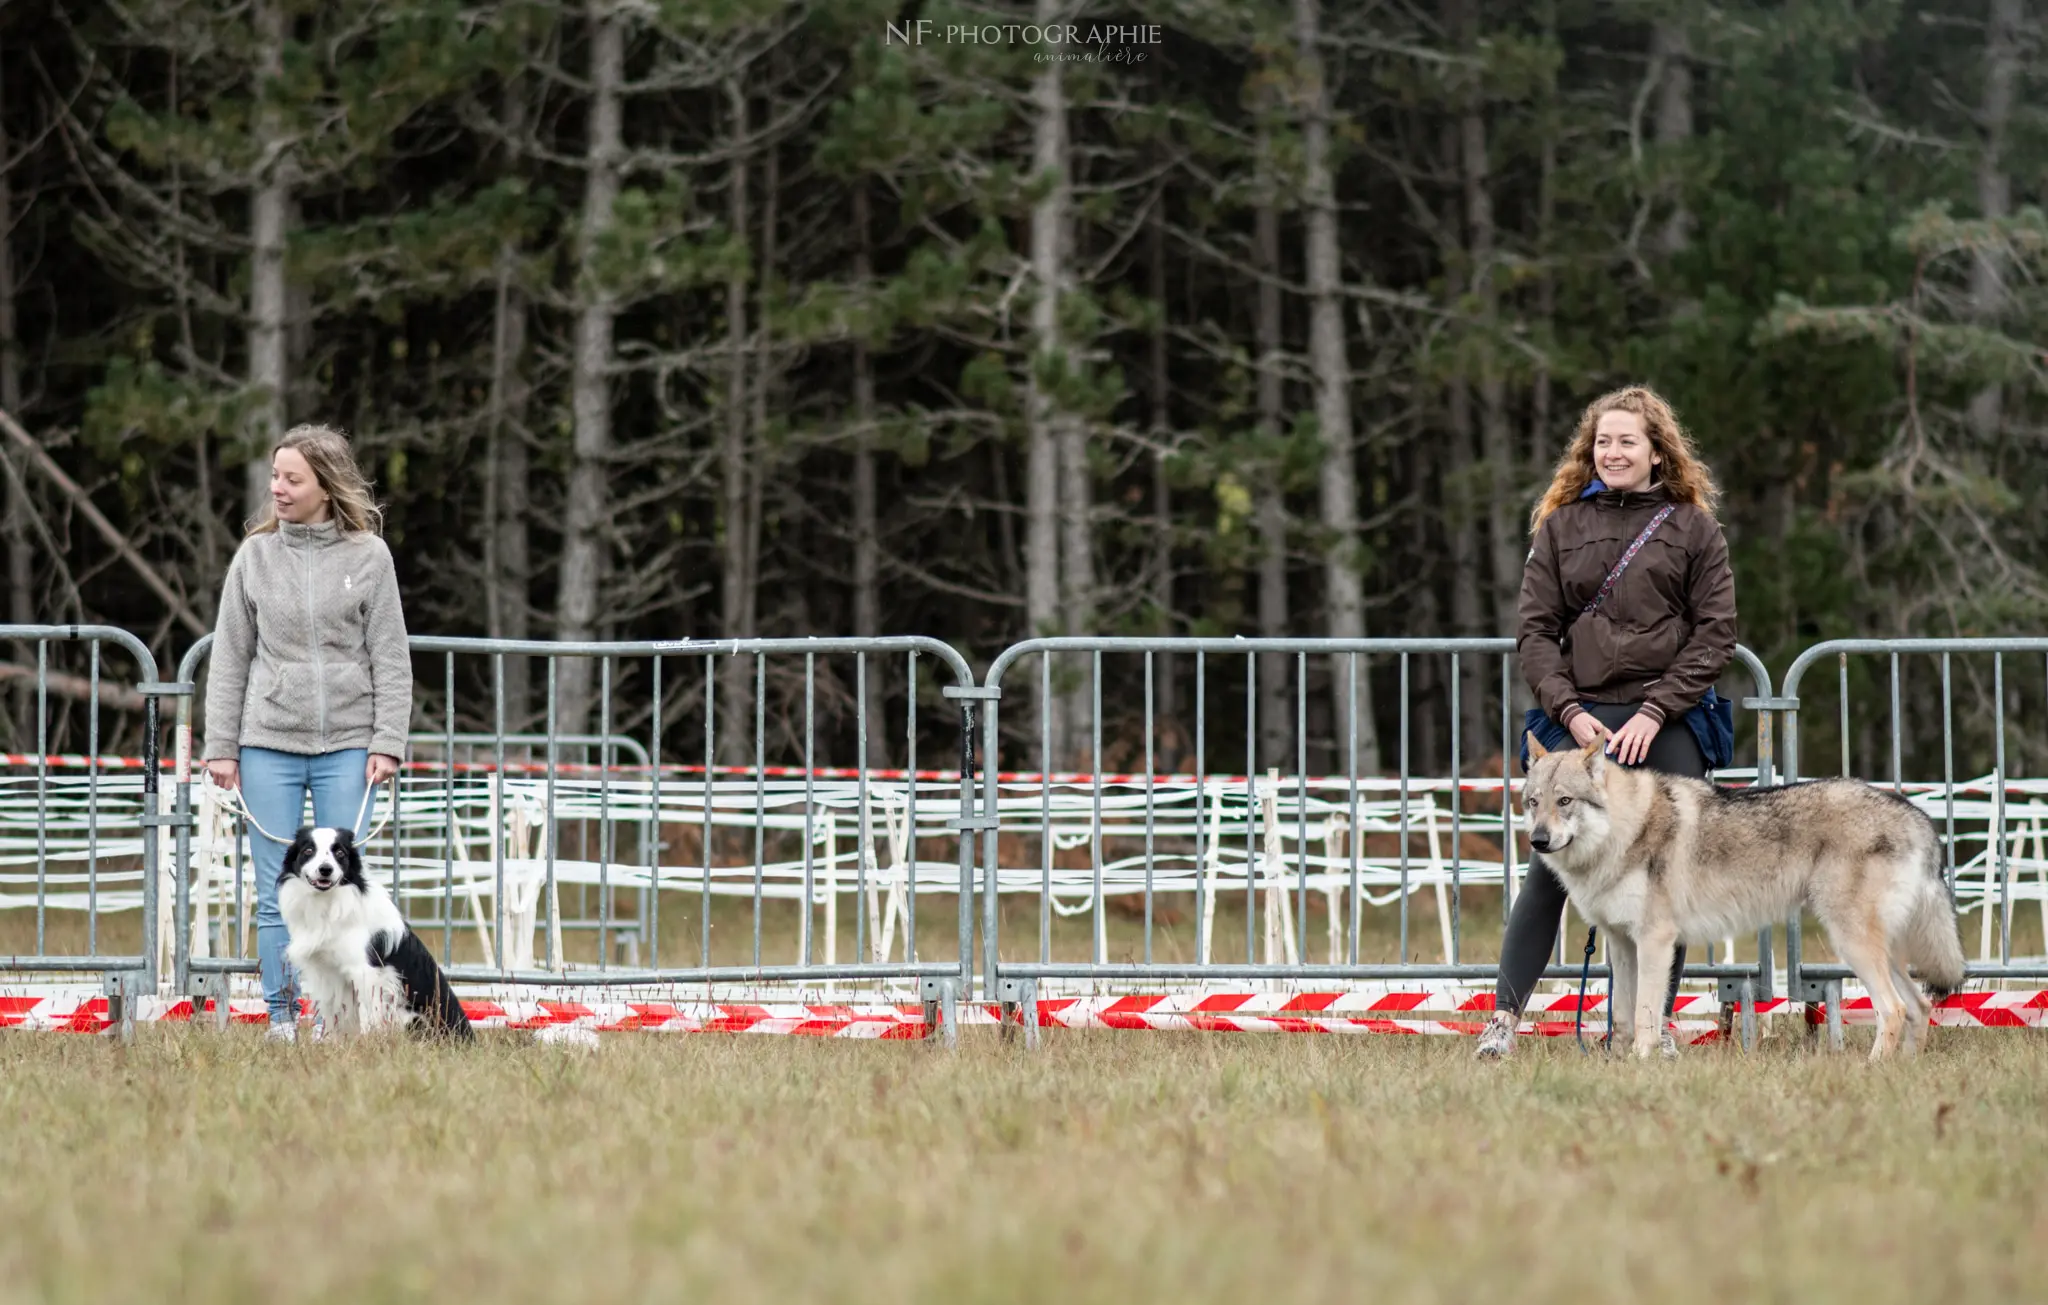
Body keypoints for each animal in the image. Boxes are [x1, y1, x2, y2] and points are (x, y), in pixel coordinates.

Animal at [278, 823, 473, 1036]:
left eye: (340, 852)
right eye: (308, 851)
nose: (325, 869)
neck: (329, 902)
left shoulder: (367, 973)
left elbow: (367, 1017)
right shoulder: (326, 974)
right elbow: (332, 1017)